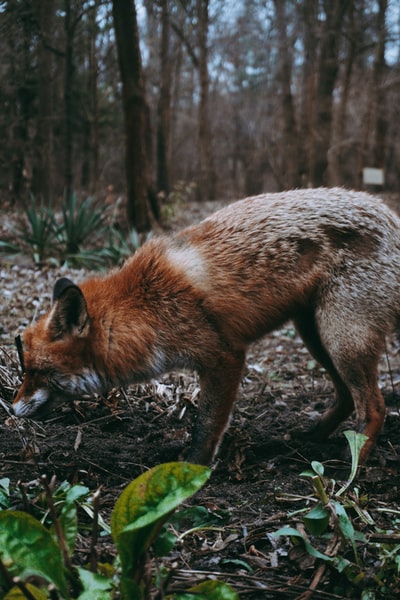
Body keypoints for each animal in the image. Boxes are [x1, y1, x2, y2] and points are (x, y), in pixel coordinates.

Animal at [10, 188, 400, 464]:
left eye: (35, 372)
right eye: (25, 370)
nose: (10, 409)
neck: (143, 306)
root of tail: (390, 215)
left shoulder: (224, 356)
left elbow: (207, 423)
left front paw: (193, 467)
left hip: (341, 339)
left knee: (375, 406)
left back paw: (352, 467)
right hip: (316, 335)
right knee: (347, 396)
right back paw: (312, 436)